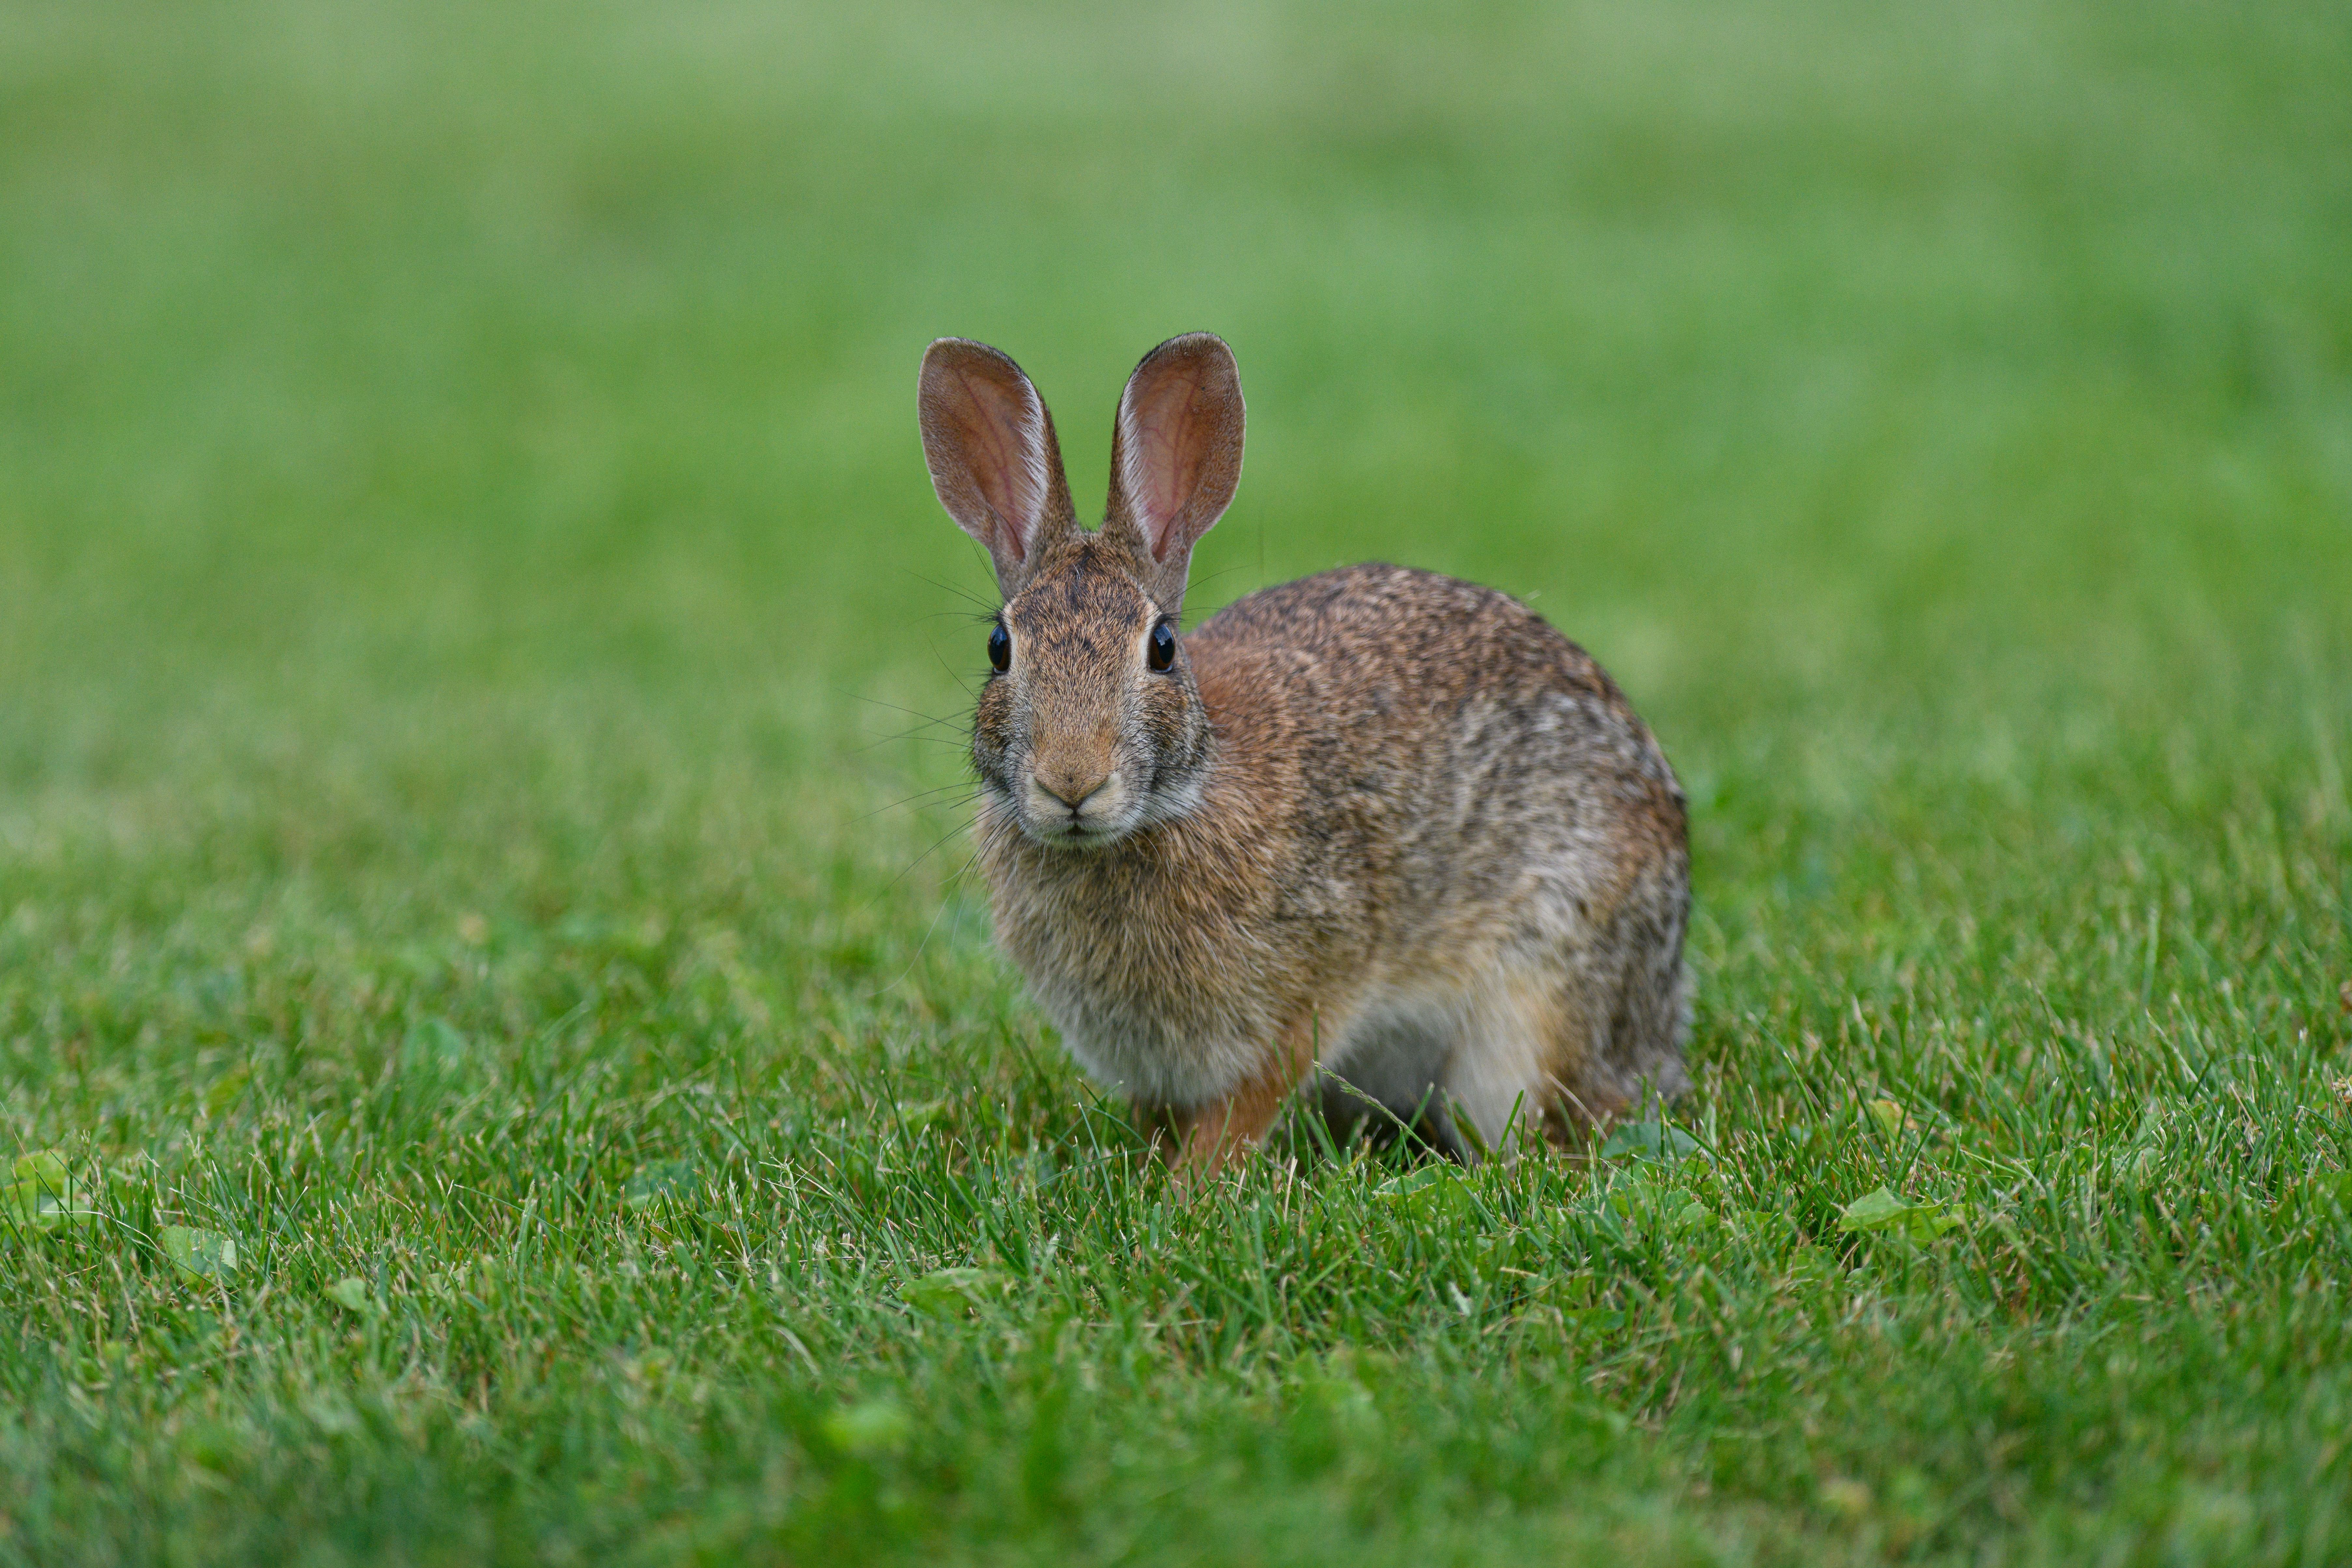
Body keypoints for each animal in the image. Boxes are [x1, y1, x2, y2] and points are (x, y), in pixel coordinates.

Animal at [917, 332, 1690, 1178]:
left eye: (1162, 648)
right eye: (999, 648)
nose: (1071, 780)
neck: (1173, 800)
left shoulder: (1309, 994)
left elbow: (1248, 1101)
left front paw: (1190, 1187)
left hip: (1528, 1013)